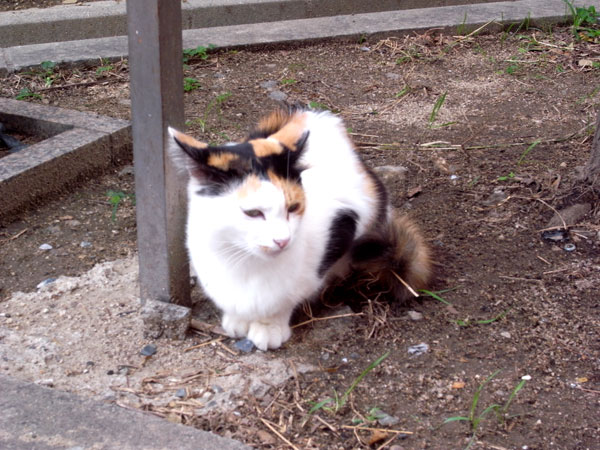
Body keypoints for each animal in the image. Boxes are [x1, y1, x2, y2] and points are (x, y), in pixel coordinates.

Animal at [168, 107, 431, 350]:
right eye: (253, 213)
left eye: (293, 207)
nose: (282, 240)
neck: (245, 261)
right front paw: (237, 319)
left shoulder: (345, 219)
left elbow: (285, 298)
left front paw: (269, 327)